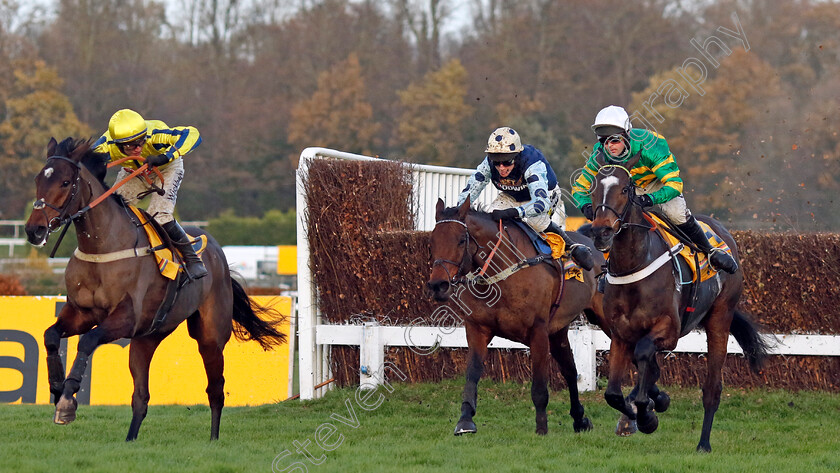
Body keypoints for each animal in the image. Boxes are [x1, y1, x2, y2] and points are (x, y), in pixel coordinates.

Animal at [24, 136, 288, 438]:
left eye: (66, 182)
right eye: (38, 179)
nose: (34, 230)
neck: (104, 246)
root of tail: (217, 252)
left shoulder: (126, 317)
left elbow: (88, 340)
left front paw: (68, 400)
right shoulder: (82, 312)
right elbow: (50, 335)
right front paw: (56, 388)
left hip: (209, 336)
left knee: (215, 389)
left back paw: (213, 439)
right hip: (147, 337)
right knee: (141, 397)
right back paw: (130, 440)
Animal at [426, 196, 612, 436]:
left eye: (460, 240)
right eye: (432, 241)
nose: (438, 285)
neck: (501, 275)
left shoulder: (538, 331)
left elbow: (539, 386)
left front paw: (541, 427)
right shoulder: (477, 329)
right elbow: (472, 374)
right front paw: (465, 421)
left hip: (605, 319)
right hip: (558, 331)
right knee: (570, 371)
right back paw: (580, 419)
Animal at [584, 158, 768, 450]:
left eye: (624, 189)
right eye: (593, 189)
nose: (601, 231)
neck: (634, 266)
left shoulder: (668, 331)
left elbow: (644, 356)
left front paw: (646, 415)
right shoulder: (619, 334)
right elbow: (613, 394)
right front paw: (644, 413)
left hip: (720, 317)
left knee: (712, 388)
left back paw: (703, 443)